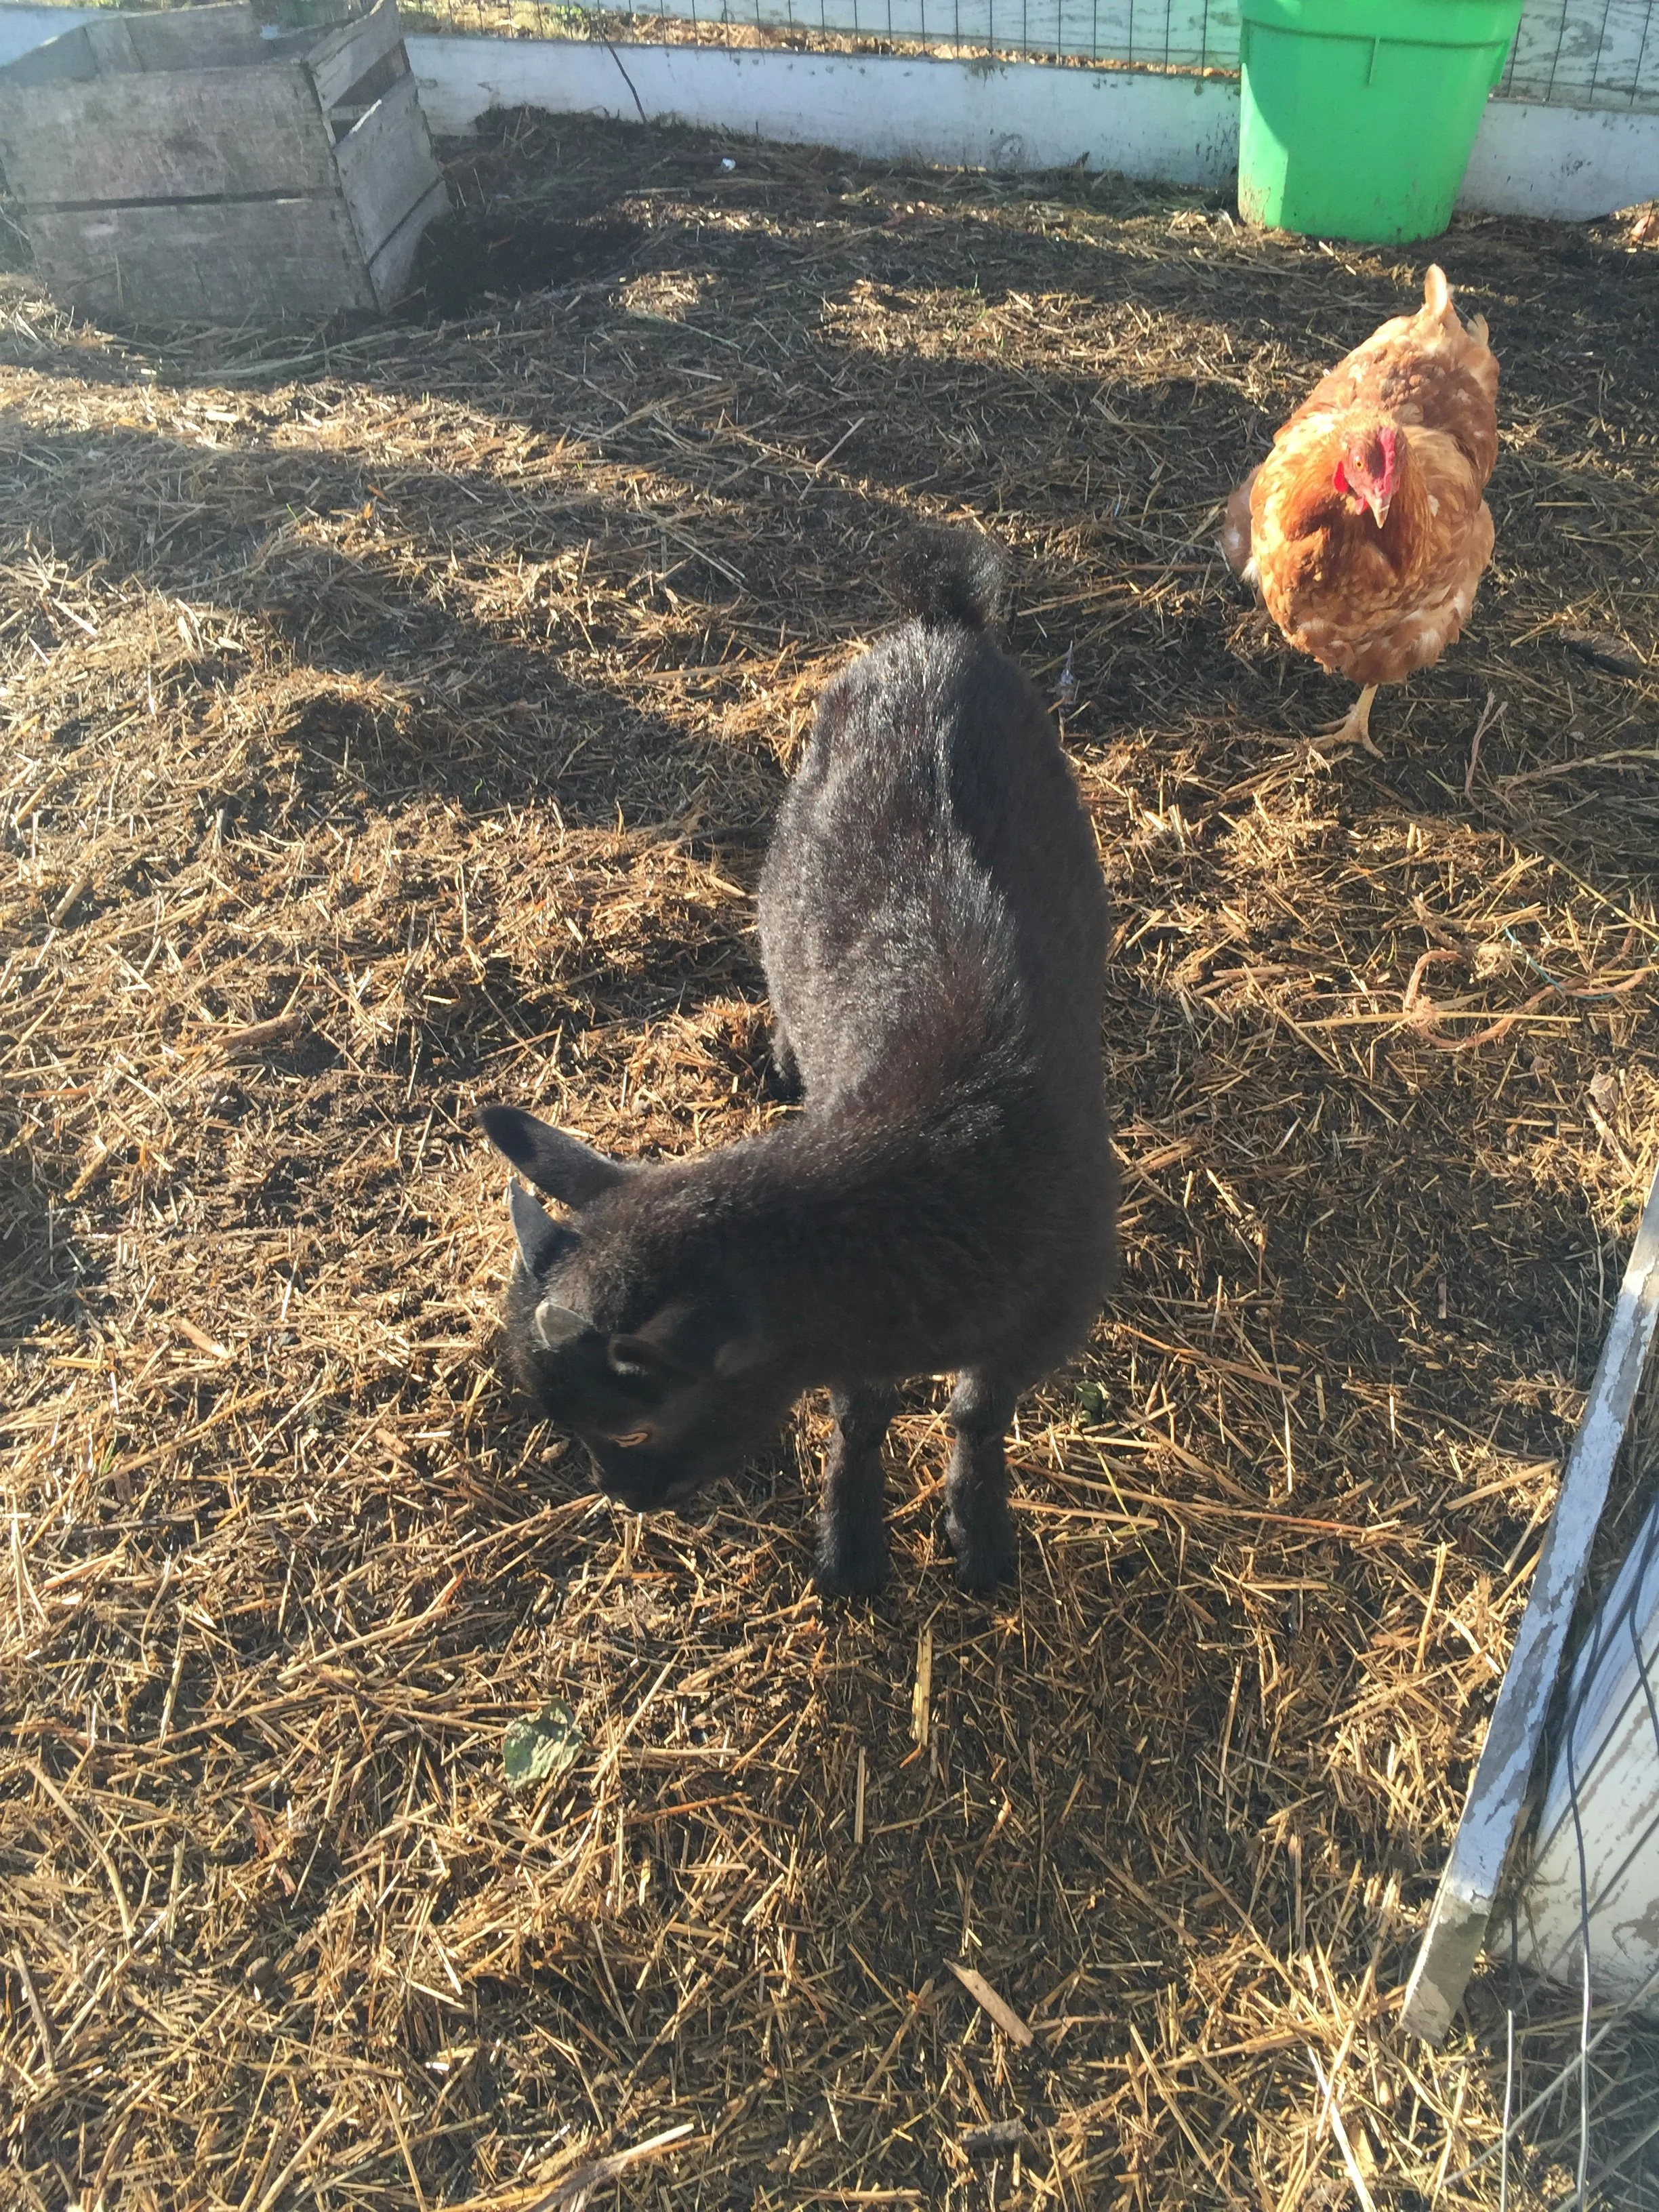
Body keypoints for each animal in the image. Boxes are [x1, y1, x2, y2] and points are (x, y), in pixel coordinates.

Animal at [479, 527, 1117, 1595]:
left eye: (637, 1425)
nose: (624, 1498)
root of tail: (939, 630)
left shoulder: (1048, 1318)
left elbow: (976, 1415)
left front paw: (979, 1534)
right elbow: (861, 1416)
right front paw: (852, 1544)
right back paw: (782, 1059)